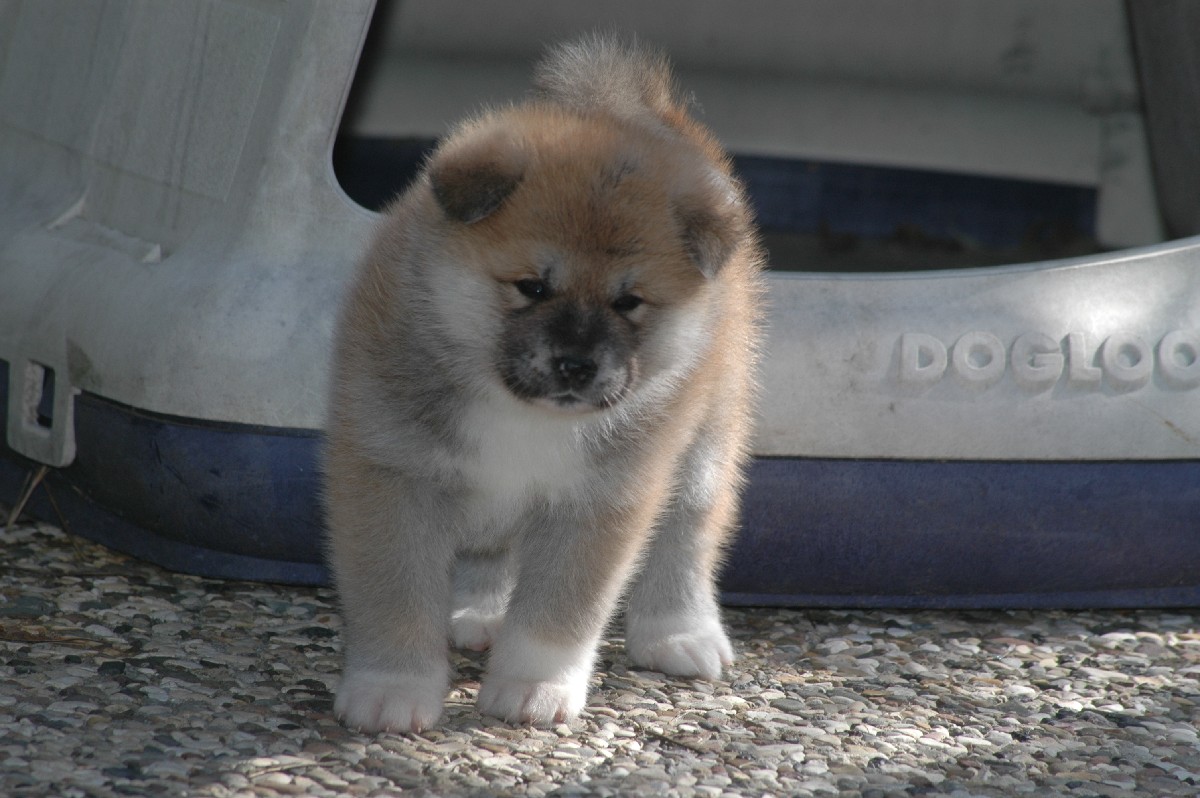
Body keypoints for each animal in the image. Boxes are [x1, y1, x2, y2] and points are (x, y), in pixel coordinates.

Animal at [324, 34, 765, 732]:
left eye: (628, 302)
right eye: (532, 286)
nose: (576, 365)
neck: (520, 412)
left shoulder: (598, 501)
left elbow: (558, 614)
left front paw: (534, 686)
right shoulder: (394, 477)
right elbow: (395, 601)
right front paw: (392, 688)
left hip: (706, 440)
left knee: (687, 537)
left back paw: (679, 631)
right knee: (489, 558)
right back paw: (477, 614)